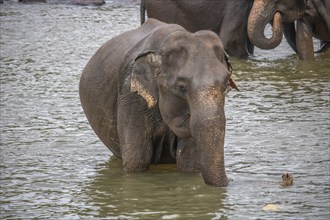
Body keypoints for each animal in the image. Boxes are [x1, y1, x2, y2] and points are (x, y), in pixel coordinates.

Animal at [80, 18, 240, 186]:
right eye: (181, 87)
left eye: (225, 85)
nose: (230, 180)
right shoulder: (130, 96)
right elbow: (136, 161)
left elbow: (188, 163)